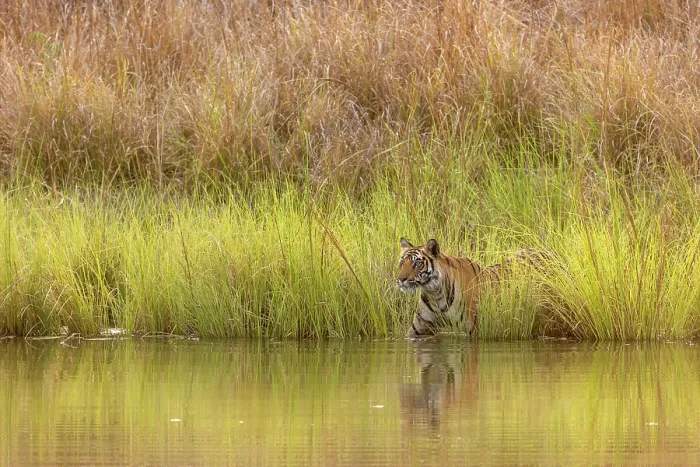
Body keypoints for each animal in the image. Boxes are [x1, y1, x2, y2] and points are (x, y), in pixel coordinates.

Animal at [396, 237, 550, 338]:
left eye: (417, 264)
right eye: (402, 262)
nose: (401, 279)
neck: (435, 293)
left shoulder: (475, 329)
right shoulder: (418, 330)